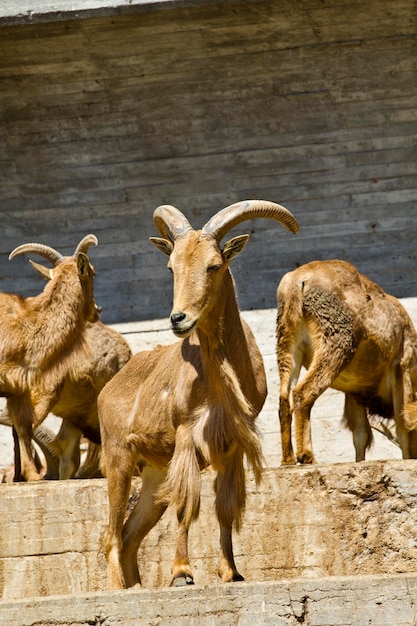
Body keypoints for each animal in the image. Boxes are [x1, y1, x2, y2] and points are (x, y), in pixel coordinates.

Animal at [97, 197, 296, 588]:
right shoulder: (188, 437)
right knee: (112, 534)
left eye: (214, 265)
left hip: (154, 472)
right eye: (171, 267)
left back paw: (138, 586)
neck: (219, 382)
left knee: (129, 535)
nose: (179, 319)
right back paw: (117, 590)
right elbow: (187, 507)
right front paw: (181, 573)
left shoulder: (231, 446)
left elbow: (225, 509)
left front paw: (231, 572)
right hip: (118, 458)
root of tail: (109, 387)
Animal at [276, 258, 417, 464]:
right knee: (303, 392)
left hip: (287, 345)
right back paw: (307, 456)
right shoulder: (401, 368)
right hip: (335, 345)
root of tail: (297, 282)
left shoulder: (354, 392)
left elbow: (360, 435)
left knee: (284, 399)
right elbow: (403, 425)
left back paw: (287, 460)